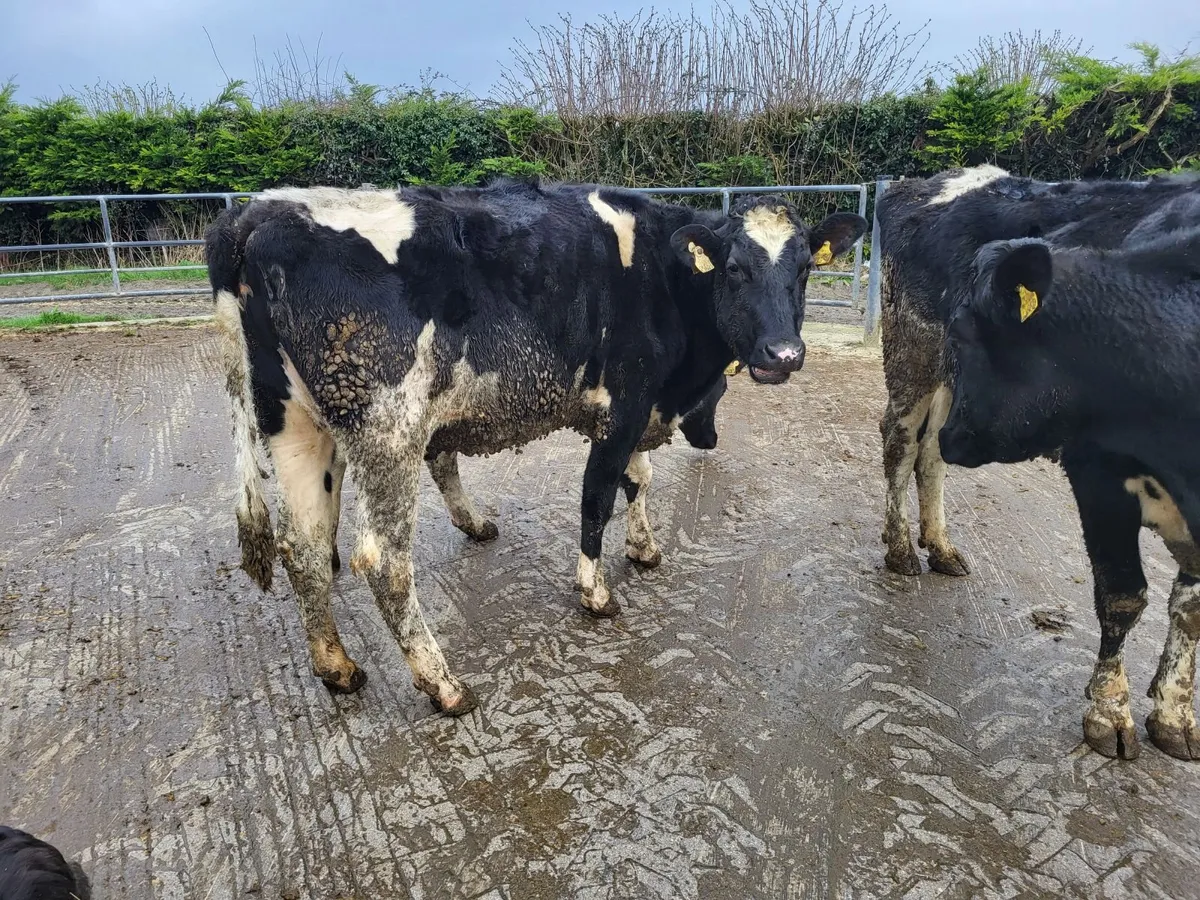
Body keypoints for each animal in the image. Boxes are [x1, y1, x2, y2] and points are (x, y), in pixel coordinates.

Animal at [205, 179, 865, 715]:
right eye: (733, 269)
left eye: (804, 269)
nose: (784, 353)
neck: (664, 273)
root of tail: (258, 214)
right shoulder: (623, 404)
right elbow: (599, 496)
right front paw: (596, 592)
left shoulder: (641, 403)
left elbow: (640, 480)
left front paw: (644, 548)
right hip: (387, 430)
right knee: (385, 563)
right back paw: (444, 685)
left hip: (295, 424)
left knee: (305, 548)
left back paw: (336, 666)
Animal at [938, 223, 1200, 760]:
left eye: (957, 333)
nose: (946, 437)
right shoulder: (1097, 472)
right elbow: (1122, 594)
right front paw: (1110, 712)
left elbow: (1187, 608)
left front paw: (1174, 715)